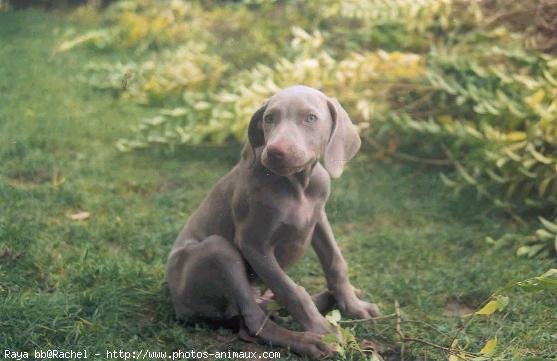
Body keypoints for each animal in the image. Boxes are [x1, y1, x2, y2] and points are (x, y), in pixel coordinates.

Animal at [165, 84, 380, 358]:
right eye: (269, 119)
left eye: (310, 118)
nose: (276, 151)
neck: (297, 184)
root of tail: (177, 305)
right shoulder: (253, 244)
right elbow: (292, 291)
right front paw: (324, 331)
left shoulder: (318, 219)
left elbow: (335, 262)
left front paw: (352, 305)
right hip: (218, 250)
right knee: (254, 322)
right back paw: (308, 341)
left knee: (265, 311)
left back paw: (328, 299)